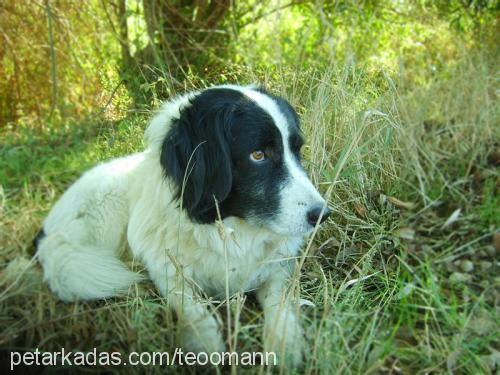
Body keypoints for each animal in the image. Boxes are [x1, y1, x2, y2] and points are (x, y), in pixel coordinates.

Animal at [35, 83, 332, 366]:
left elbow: (280, 304)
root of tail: (46, 232)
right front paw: (206, 346)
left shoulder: (277, 266)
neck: (224, 227)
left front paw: (286, 346)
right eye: (258, 155)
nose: (322, 214)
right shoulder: (164, 267)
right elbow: (191, 306)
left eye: (297, 151)